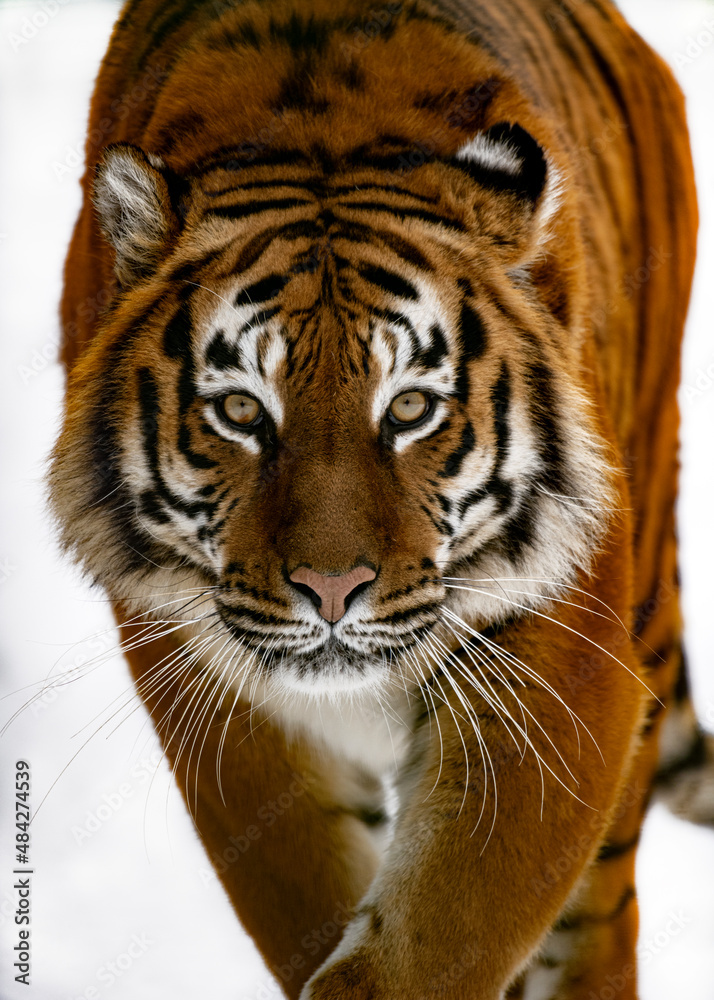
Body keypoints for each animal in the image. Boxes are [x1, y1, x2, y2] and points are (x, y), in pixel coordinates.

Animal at [49, 0, 710, 996]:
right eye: (240, 410)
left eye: (408, 408)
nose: (331, 591)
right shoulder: (205, 678)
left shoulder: (565, 659)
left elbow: (445, 929)